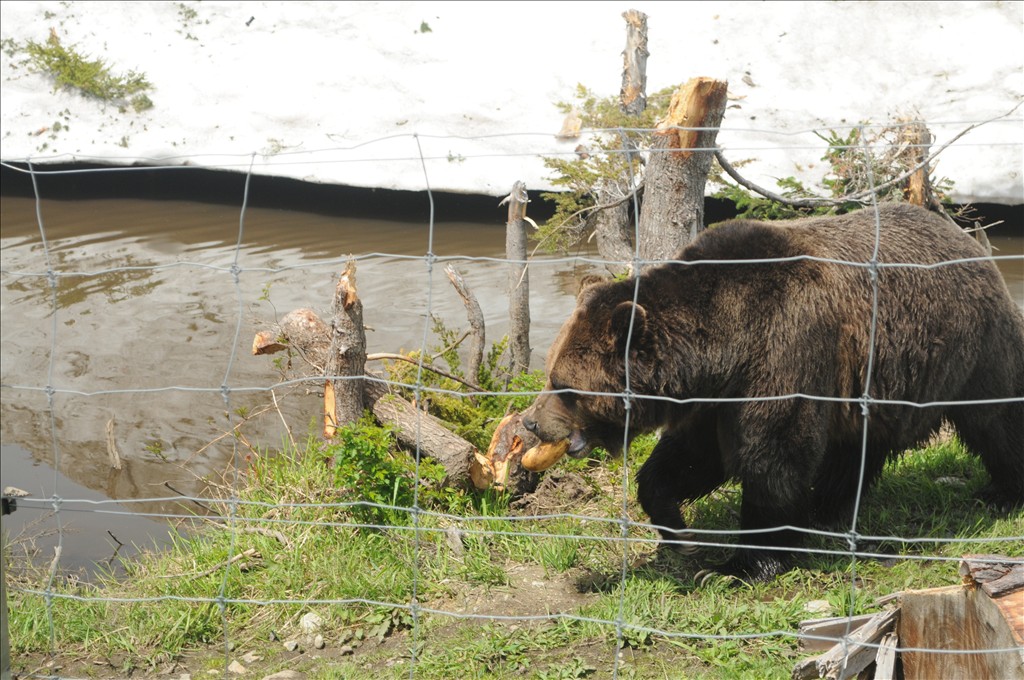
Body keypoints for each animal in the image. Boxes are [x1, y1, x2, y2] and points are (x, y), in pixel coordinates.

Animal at [524, 204, 1019, 581]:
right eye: (549, 372)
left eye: (564, 385)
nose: (531, 421)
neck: (724, 347)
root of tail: (964, 237)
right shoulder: (717, 398)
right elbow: (691, 458)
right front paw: (679, 533)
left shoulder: (785, 351)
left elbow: (772, 455)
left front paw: (738, 565)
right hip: (877, 381)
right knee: (856, 445)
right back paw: (826, 506)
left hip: (970, 347)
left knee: (997, 419)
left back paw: (1002, 492)